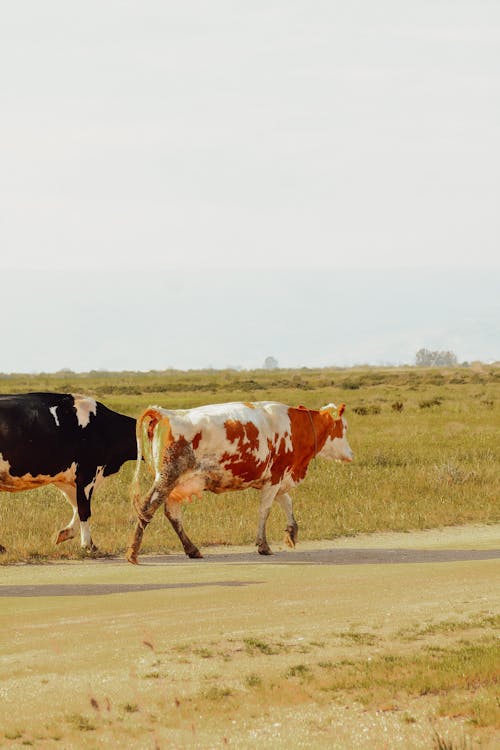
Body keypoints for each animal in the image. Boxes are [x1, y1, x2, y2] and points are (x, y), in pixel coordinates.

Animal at [0, 394, 137, 552]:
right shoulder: (87, 473)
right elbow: (84, 509)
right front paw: (87, 545)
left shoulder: (68, 480)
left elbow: (77, 507)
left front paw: (65, 534)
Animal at [126, 402, 352, 568]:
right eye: (344, 427)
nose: (351, 454)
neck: (294, 425)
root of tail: (166, 413)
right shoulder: (275, 477)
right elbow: (265, 510)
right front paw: (263, 545)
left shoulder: (277, 478)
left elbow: (287, 503)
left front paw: (291, 532)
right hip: (167, 478)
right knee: (147, 508)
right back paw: (132, 553)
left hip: (175, 485)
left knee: (172, 514)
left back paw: (192, 549)